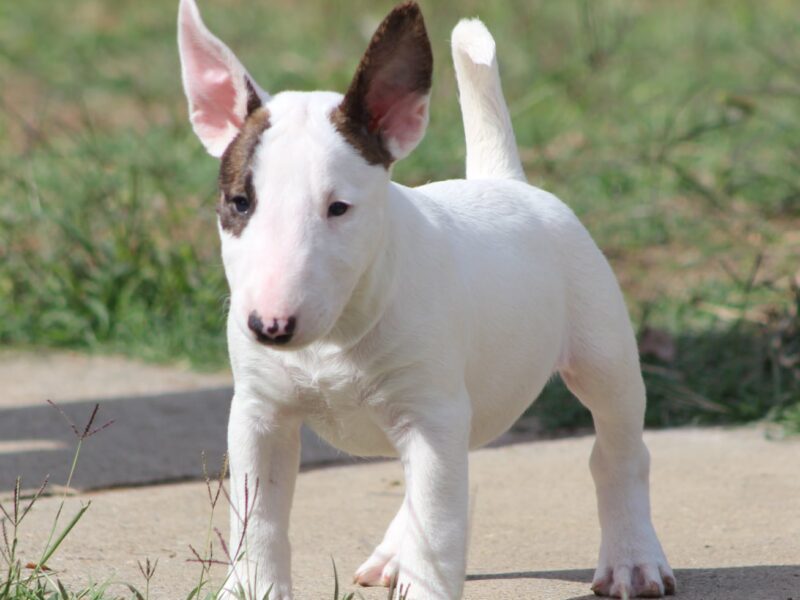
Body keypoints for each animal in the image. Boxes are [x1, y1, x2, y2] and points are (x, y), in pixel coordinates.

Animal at [177, 2, 676, 596]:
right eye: (239, 203)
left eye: (338, 208)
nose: (270, 327)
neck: (339, 331)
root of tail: (507, 181)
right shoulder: (260, 414)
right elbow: (258, 517)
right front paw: (252, 587)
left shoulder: (431, 413)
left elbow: (437, 524)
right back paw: (394, 553)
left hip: (602, 354)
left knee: (618, 452)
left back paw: (633, 560)